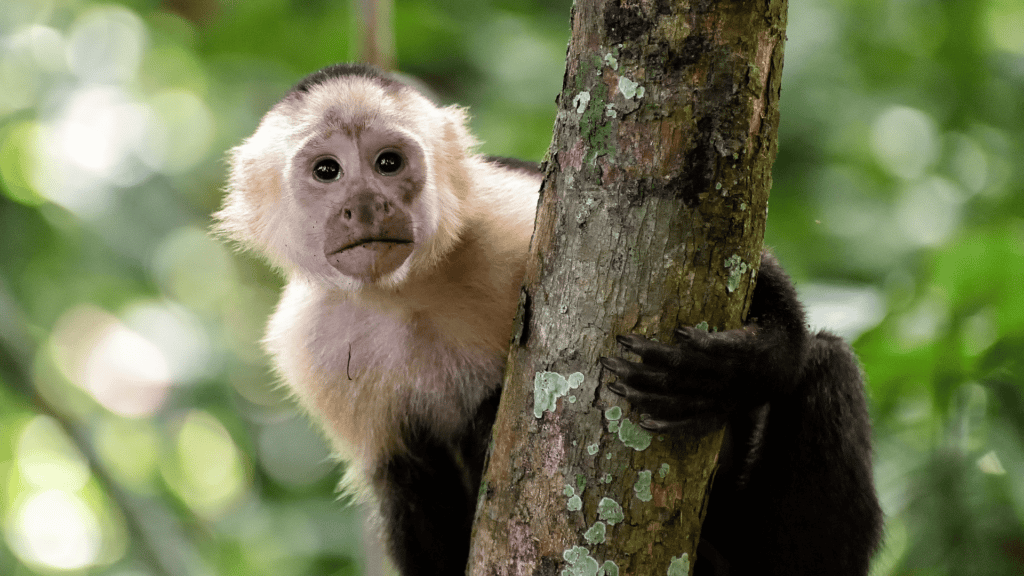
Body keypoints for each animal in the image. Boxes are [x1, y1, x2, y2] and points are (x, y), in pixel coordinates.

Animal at [214, 63, 880, 573]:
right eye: (327, 171)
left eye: (387, 163)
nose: (366, 205)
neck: (407, 293)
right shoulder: (308, 347)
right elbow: (407, 483)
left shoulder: (502, 214)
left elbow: (746, 264)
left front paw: (739, 367)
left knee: (827, 365)